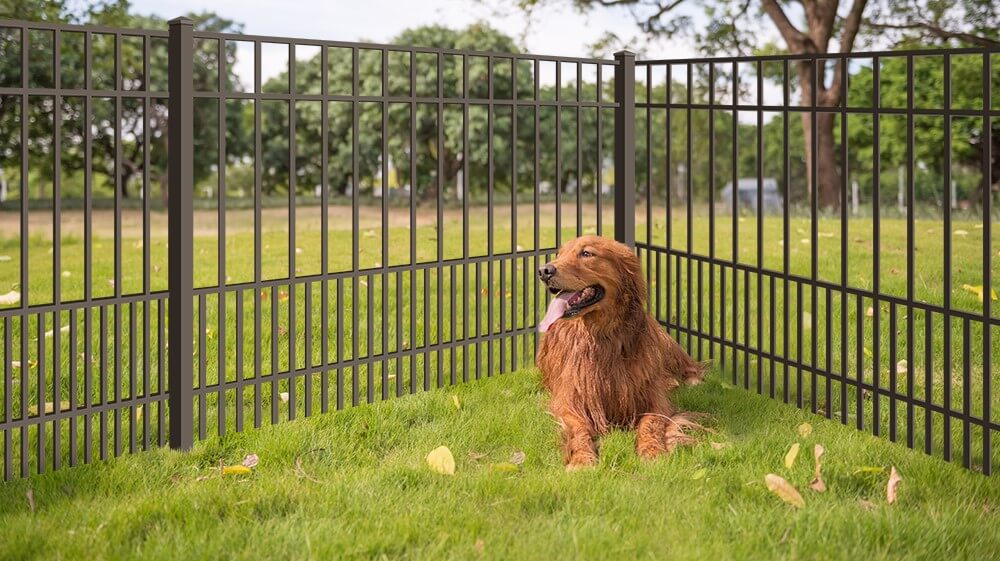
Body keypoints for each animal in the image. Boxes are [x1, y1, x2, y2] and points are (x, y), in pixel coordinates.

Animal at [536, 236, 708, 468]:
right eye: (559, 254)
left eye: (586, 253)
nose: (544, 270)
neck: (603, 336)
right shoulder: (570, 402)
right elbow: (579, 429)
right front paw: (582, 458)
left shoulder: (655, 401)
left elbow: (651, 423)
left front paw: (652, 450)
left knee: (688, 366)